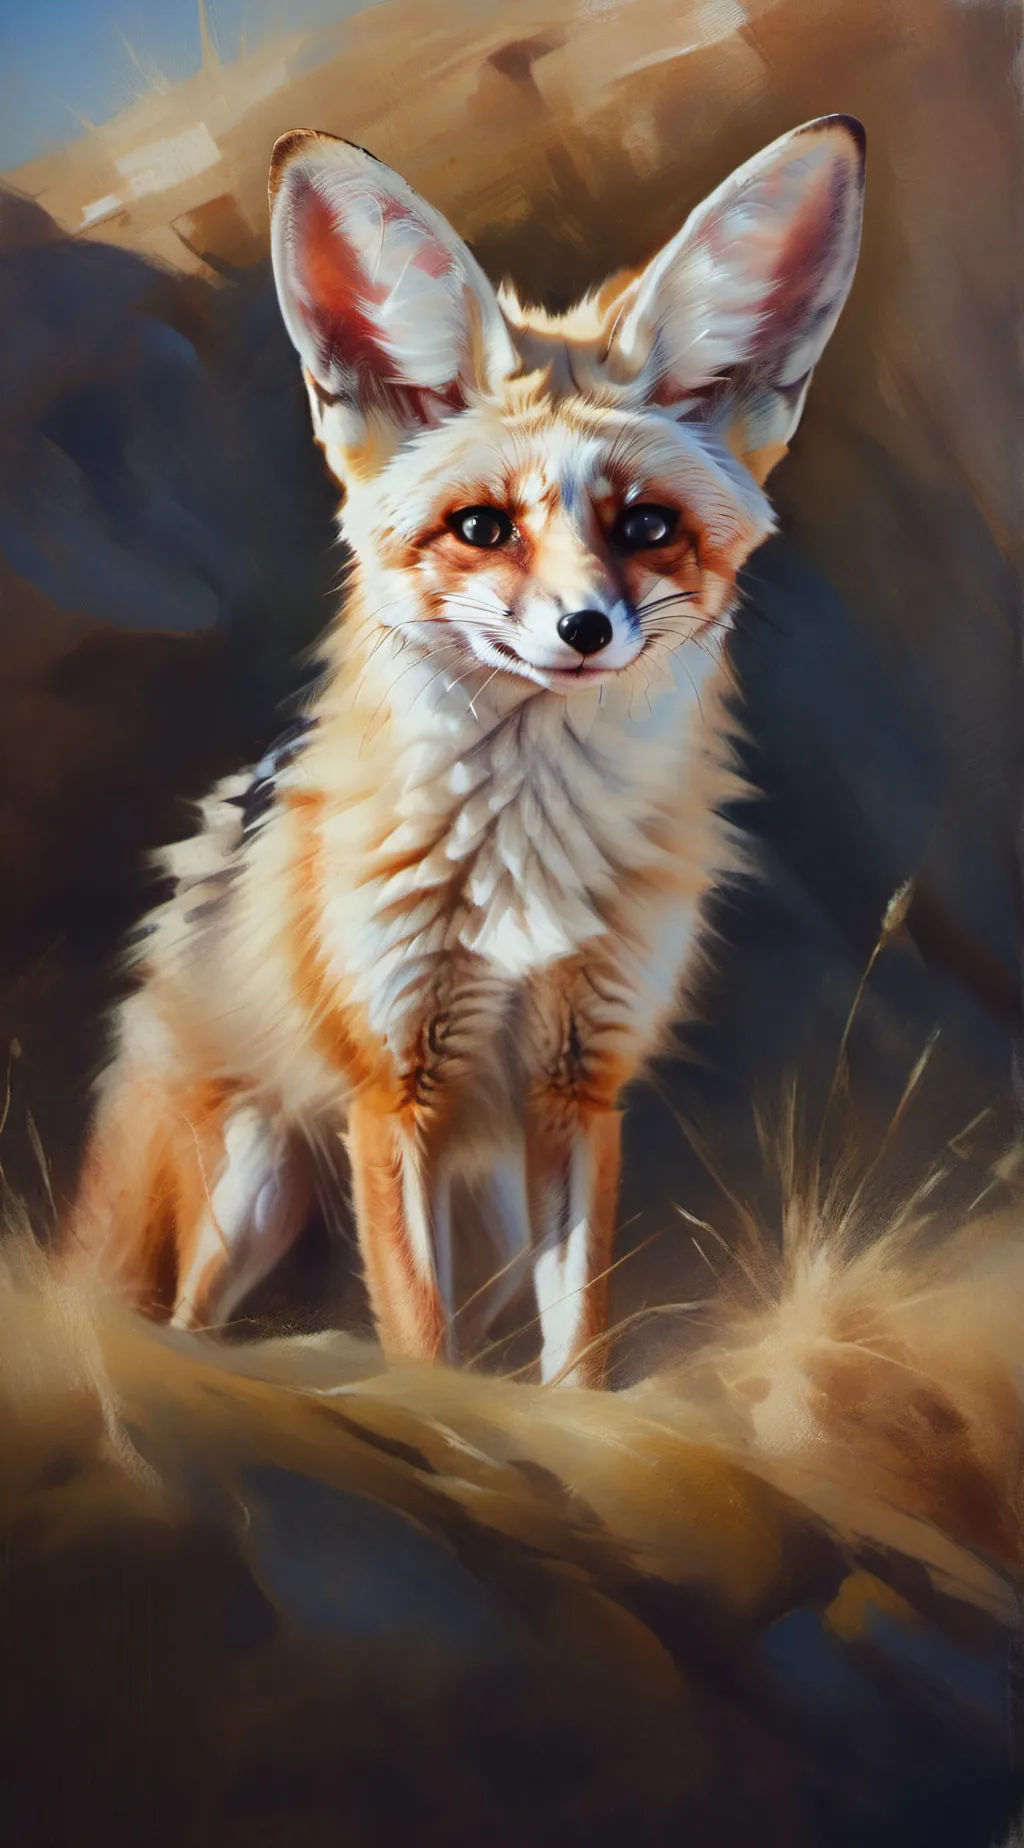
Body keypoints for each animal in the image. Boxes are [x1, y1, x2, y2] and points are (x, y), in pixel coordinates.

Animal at [64, 115, 866, 1387]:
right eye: (483, 528)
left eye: (647, 526)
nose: (584, 631)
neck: (524, 864)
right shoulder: (394, 1092)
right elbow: (420, 1349)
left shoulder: (579, 1088)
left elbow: (574, 1354)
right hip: (251, 1181)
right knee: (187, 1329)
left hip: (474, 1212)